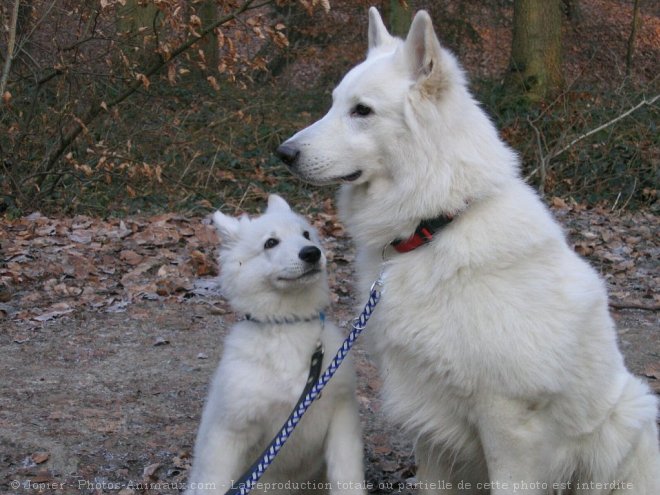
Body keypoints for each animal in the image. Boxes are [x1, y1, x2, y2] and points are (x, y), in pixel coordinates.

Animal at [186, 195, 366, 495]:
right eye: (270, 243)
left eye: (306, 234)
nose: (312, 253)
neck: (288, 324)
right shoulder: (230, 432)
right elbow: (216, 480)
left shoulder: (341, 415)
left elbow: (347, 476)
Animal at [278, 7, 660, 495]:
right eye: (333, 104)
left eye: (361, 111)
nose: (283, 153)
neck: (436, 225)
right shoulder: (428, 417)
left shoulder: (507, 420)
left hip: (624, 417)